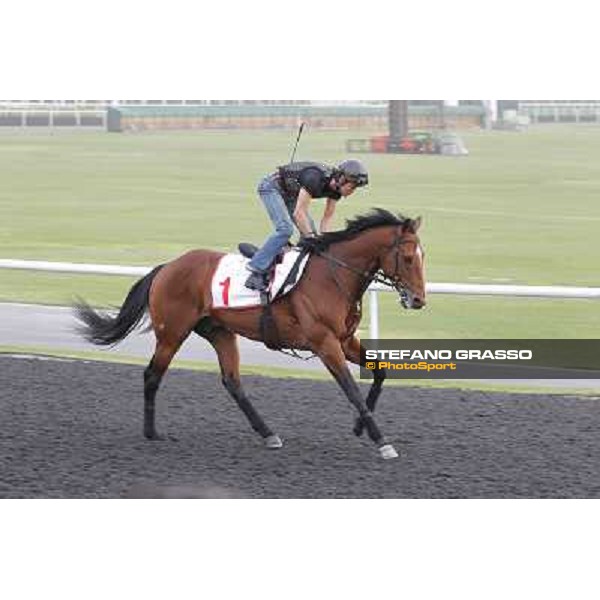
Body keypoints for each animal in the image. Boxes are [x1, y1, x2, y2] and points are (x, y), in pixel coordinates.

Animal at [75, 209, 426, 458]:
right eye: (409, 258)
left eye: (423, 257)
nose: (419, 300)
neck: (331, 276)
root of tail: (168, 266)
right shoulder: (325, 343)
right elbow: (350, 388)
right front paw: (382, 441)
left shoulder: (345, 340)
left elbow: (380, 372)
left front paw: (359, 426)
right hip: (173, 332)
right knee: (152, 375)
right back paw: (152, 433)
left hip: (220, 332)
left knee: (232, 381)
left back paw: (268, 433)